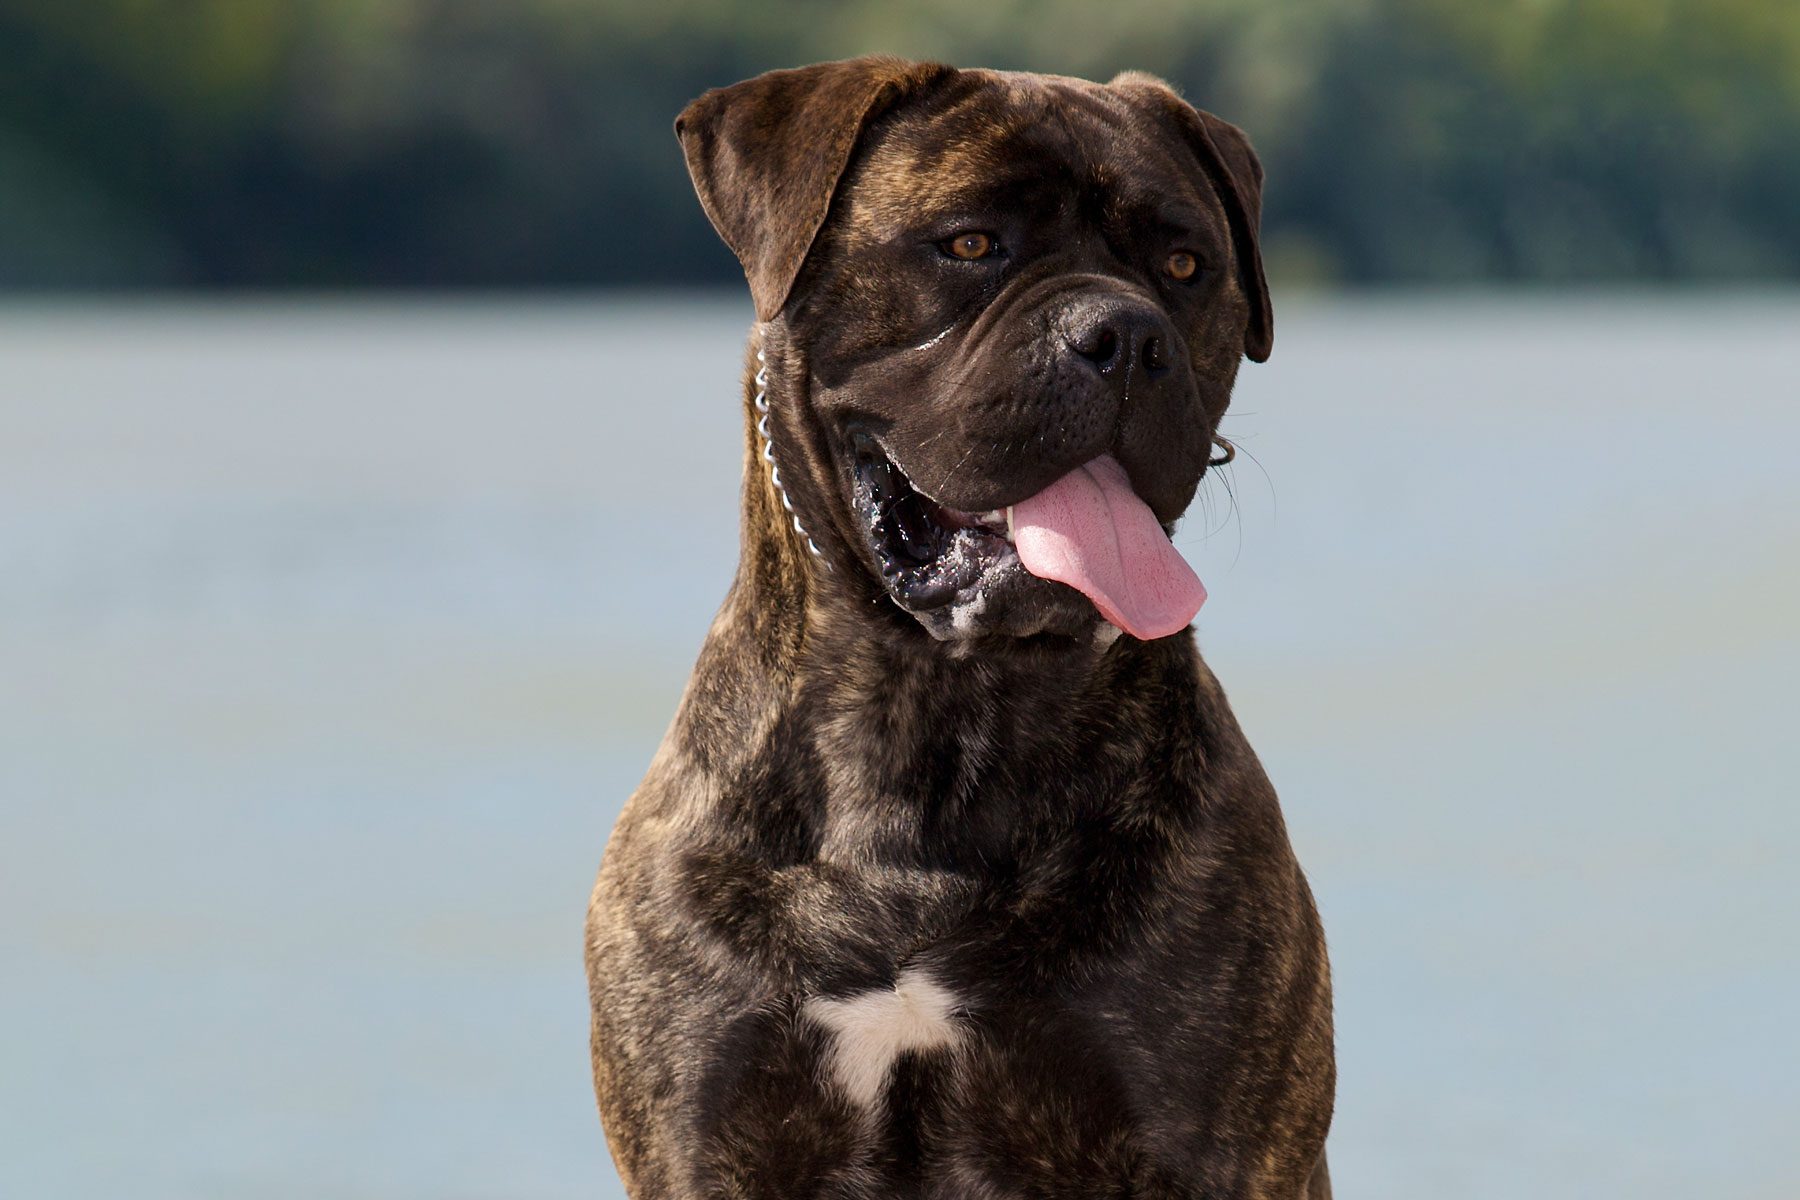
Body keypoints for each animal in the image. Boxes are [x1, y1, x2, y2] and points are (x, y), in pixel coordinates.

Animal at [583, 56, 1332, 1200]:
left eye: (1186, 265)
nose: (1126, 336)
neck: (936, 719)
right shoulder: (704, 1140)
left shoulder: (1212, 1148)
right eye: (971, 244)